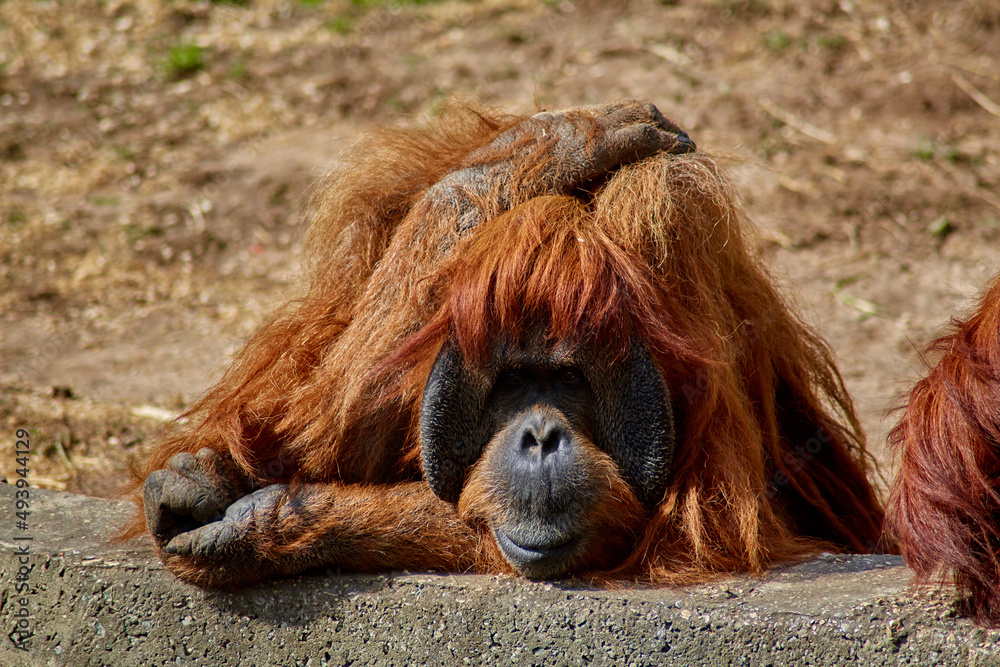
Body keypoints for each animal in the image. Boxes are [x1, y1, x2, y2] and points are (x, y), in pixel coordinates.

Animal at [127, 100, 885, 589]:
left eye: (571, 381)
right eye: (514, 381)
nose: (542, 436)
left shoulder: (680, 251)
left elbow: (694, 530)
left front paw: (266, 521)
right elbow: (297, 419)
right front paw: (558, 142)